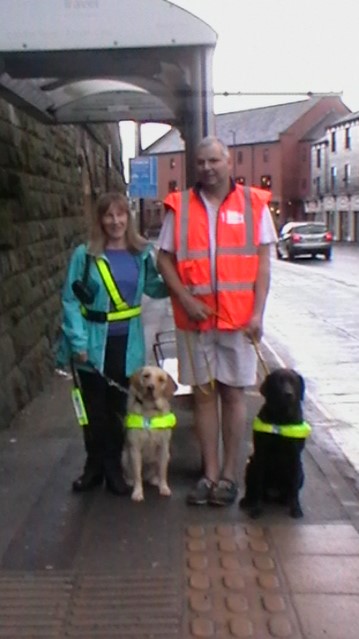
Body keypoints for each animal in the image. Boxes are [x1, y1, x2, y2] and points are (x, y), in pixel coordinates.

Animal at [121, 368, 178, 502]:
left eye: (161, 379)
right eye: (146, 376)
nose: (150, 387)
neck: (150, 410)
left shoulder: (163, 447)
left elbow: (163, 472)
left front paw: (164, 487)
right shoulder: (135, 448)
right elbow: (137, 475)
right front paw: (137, 492)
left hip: (167, 456)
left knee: (156, 472)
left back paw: (155, 480)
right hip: (125, 456)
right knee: (132, 474)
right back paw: (130, 481)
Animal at [239, 370, 312, 520]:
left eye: (293, 381)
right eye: (279, 381)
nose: (288, 394)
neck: (281, 419)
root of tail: (274, 493)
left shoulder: (295, 457)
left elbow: (294, 489)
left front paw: (296, 509)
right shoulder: (261, 455)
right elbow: (258, 486)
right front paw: (256, 509)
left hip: (301, 472)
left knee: (290, 490)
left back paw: (286, 501)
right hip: (251, 464)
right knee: (252, 489)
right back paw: (247, 500)